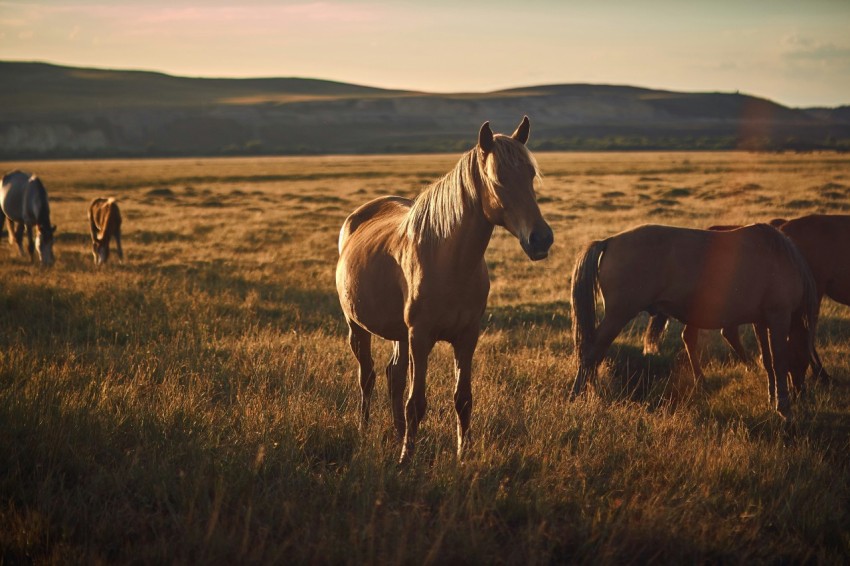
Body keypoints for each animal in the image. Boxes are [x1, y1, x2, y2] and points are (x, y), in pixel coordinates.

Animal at [336, 117, 553, 464]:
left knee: (393, 375)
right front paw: (405, 461)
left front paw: (462, 455)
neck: (449, 262)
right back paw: (364, 431)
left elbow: (462, 399)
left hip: (399, 335)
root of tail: (356, 218)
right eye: (498, 179)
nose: (541, 239)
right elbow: (416, 403)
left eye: (531, 176)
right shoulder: (420, 337)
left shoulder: (466, 337)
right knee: (367, 377)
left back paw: (397, 434)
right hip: (358, 327)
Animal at [570, 223, 819, 422]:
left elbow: (768, 360)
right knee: (590, 355)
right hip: (618, 315)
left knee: (594, 356)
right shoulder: (778, 317)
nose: (802, 393)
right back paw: (576, 397)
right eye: (803, 359)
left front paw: (772, 397)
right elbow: (778, 361)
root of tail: (609, 241)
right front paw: (784, 408)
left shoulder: (761, 321)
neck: (781, 258)